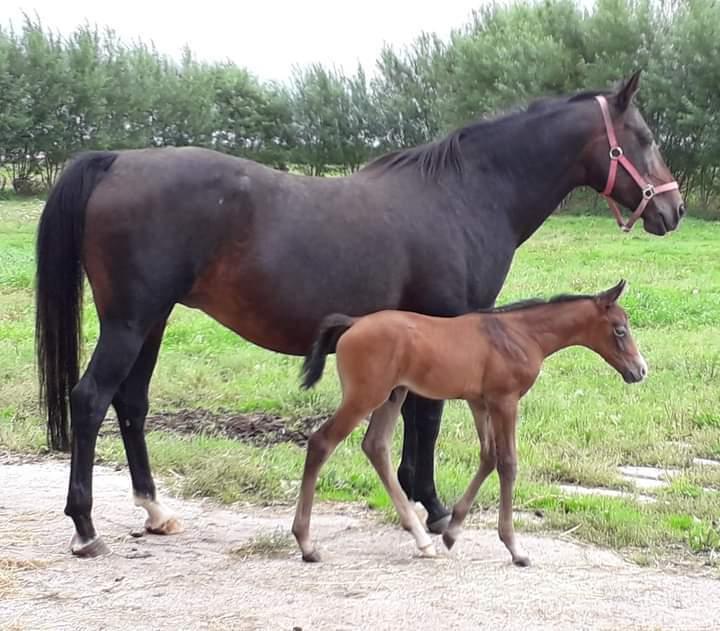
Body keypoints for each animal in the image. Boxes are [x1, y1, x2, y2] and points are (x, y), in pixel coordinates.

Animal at [292, 278, 648, 564]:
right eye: (620, 329)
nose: (640, 370)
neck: (520, 334)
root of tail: (352, 324)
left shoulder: (480, 402)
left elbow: (488, 457)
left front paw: (452, 532)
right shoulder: (505, 401)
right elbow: (507, 463)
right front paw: (515, 548)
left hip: (394, 394)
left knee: (376, 446)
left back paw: (422, 540)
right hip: (365, 396)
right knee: (322, 442)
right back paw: (307, 544)